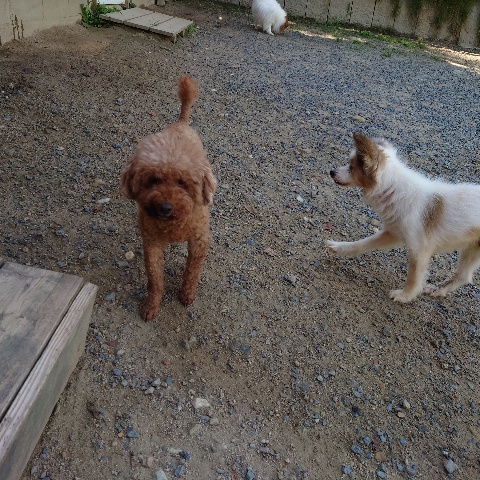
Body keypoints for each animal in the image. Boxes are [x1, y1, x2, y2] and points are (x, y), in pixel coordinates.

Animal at [120, 76, 217, 321]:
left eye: (182, 182)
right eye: (153, 179)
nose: (164, 207)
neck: (173, 224)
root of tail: (181, 122)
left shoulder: (199, 241)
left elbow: (192, 271)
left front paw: (186, 295)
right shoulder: (152, 244)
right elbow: (154, 279)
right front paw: (151, 306)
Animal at [327, 133, 480, 303]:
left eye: (351, 167)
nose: (332, 171)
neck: (394, 191)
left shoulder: (419, 251)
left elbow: (413, 278)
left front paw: (405, 296)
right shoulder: (393, 233)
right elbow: (363, 243)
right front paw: (340, 247)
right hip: (472, 249)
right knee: (463, 276)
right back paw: (438, 290)